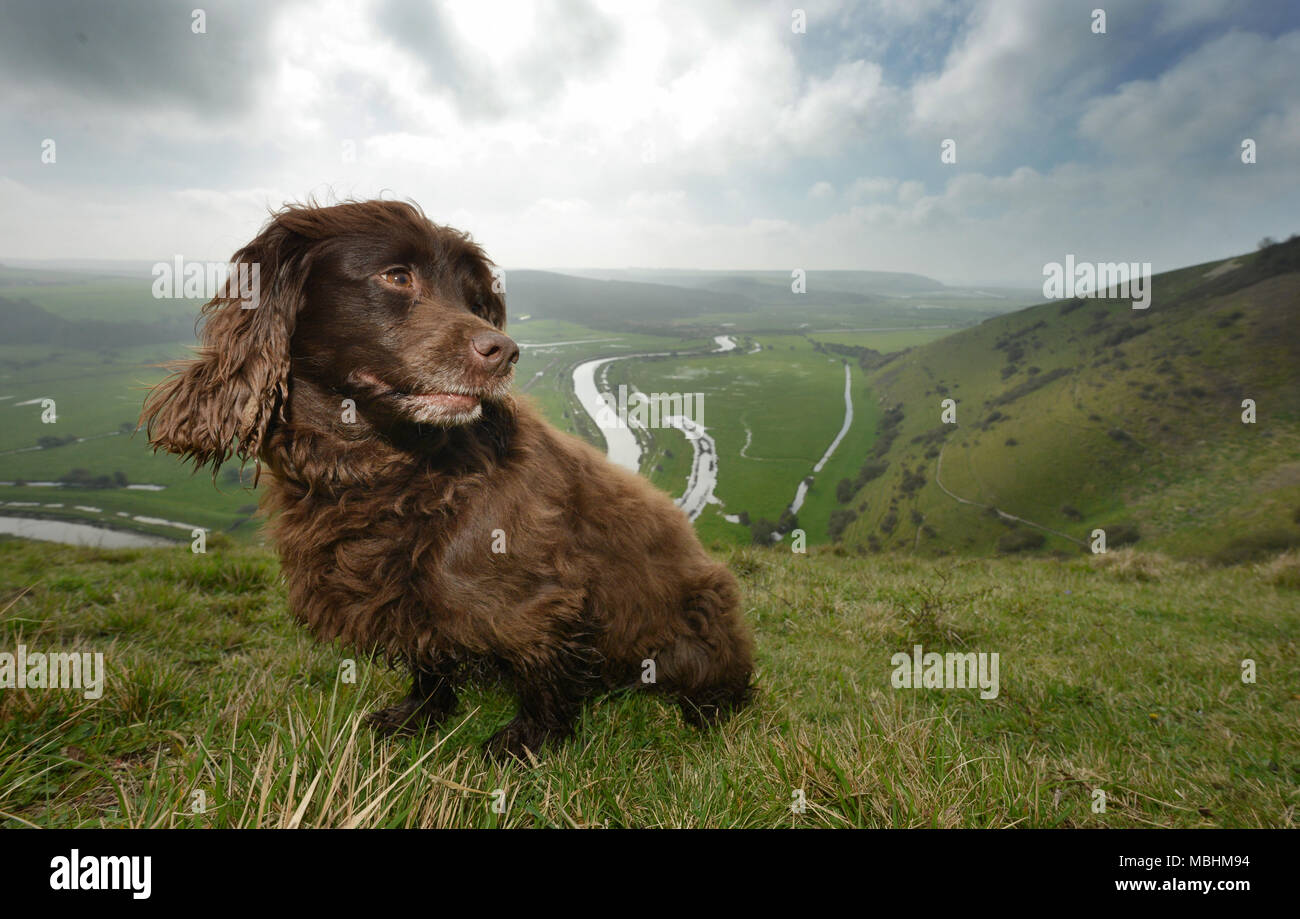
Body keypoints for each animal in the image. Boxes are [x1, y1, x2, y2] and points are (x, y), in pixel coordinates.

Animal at [141, 197, 754, 759]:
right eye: (396, 276)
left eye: (475, 301)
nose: (504, 352)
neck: (384, 468)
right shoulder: (408, 596)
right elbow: (427, 658)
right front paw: (420, 714)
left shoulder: (536, 599)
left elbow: (541, 672)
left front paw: (530, 741)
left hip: (701, 615)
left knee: (724, 679)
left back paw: (708, 707)